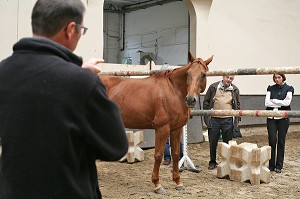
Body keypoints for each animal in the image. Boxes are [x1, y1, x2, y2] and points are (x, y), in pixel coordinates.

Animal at [99, 52, 212, 194]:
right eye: (188, 74)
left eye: (203, 75)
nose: (191, 99)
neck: (173, 91)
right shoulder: (162, 129)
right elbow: (158, 155)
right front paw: (157, 184)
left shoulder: (176, 129)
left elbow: (176, 154)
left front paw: (178, 182)